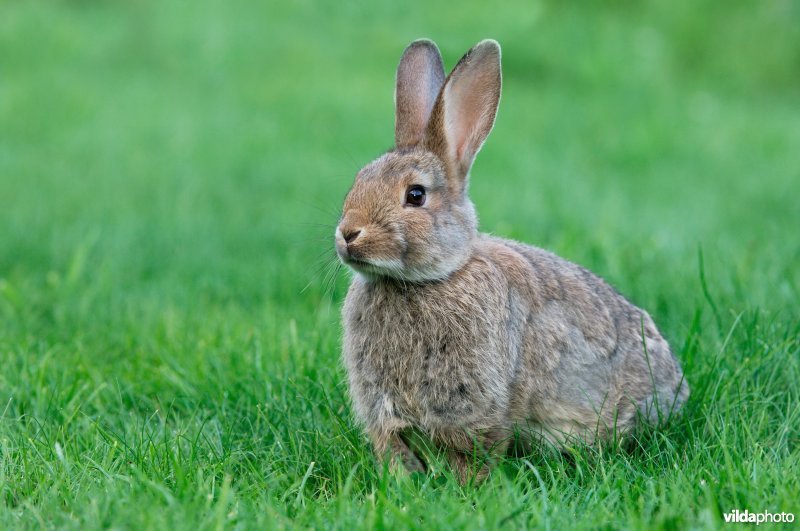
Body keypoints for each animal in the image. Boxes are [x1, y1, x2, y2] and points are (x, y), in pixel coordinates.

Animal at [334, 38, 692, 486]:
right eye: (358, 181)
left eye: (415, 195)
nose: (348, 234)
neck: (423, 280)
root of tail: (677, 387)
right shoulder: (385, 414)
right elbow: (395, 452)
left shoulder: (479, 406)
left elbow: (476, 451)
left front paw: (465, 489)